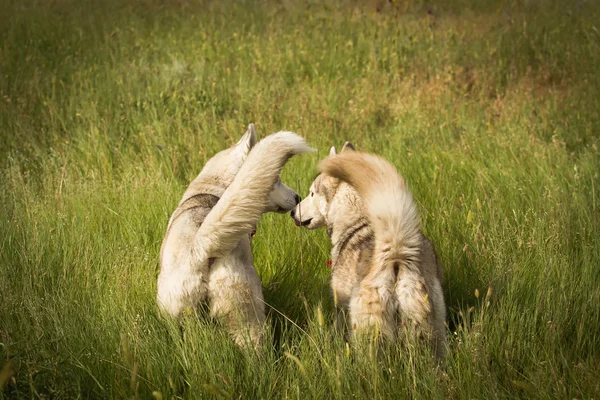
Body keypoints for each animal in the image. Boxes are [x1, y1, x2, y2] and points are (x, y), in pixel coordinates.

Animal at [157, 125, 312, 346]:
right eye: (275, 179)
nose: (298, 197)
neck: (215, 188)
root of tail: (201, 247)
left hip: (182, 317)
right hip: (247, 313)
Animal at [290, 143, 446, 360]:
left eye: (312, 193)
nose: (292, 212)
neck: (357, 218)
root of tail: (395, 252)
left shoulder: (340, 305)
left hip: (369, 335)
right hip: (429, 332)